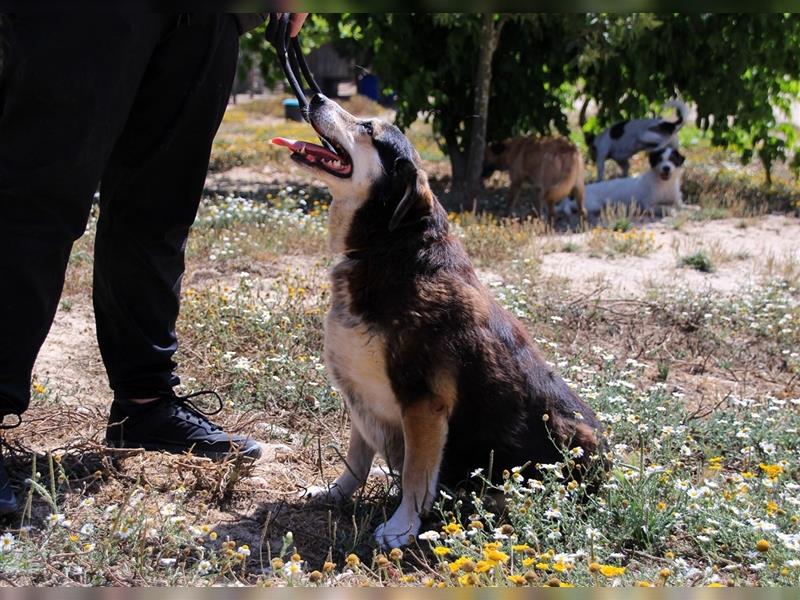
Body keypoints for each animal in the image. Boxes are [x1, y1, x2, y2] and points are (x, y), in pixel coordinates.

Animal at [272, 96, 604, 552]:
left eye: (368, 129)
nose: (315, 98)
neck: (390, 247)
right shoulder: (361, 396)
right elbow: (356, 460)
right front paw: (336, 493)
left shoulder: (423, 402)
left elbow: (416, 473)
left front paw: (401, 527)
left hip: (569, 433)